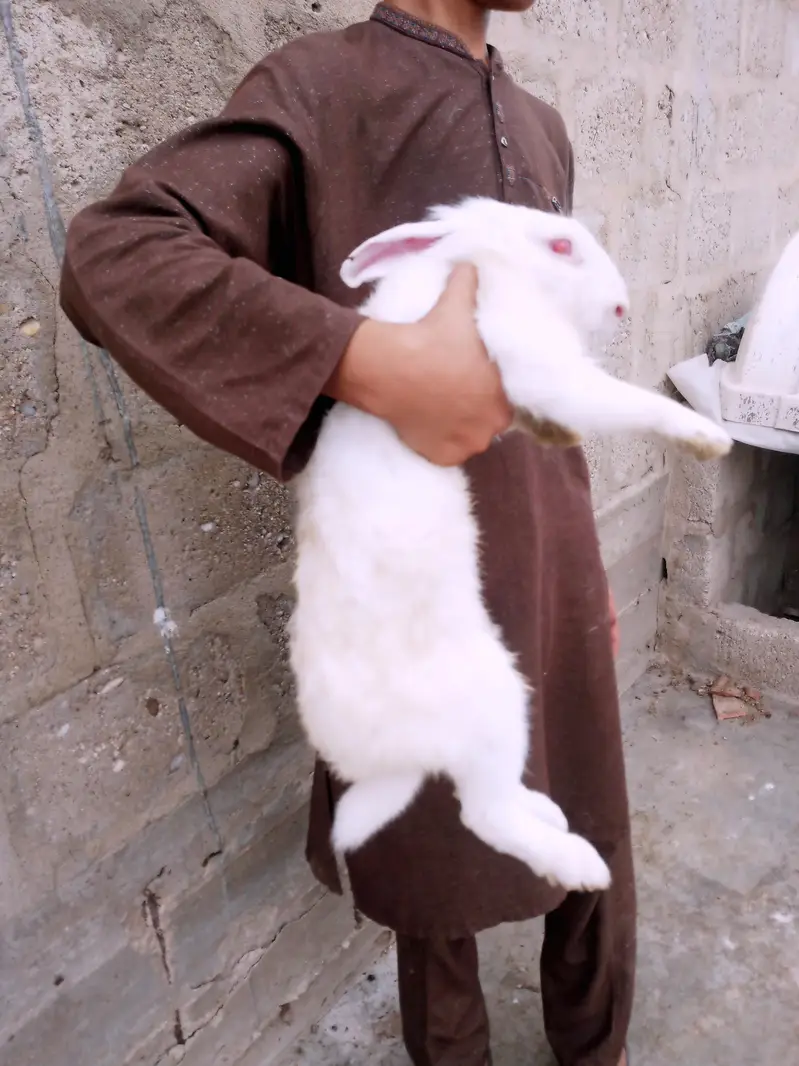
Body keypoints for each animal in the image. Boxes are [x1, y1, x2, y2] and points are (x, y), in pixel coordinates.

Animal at [289, 197, 732, 894]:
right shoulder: (531, 357)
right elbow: (617, 399)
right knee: (483, 813)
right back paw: (579, 863)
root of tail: (390, 762)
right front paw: (709, 438)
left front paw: (553, 434)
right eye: (560, 246)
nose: (620, 309)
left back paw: (549, 813)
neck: (469, 268)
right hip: (498, 705)